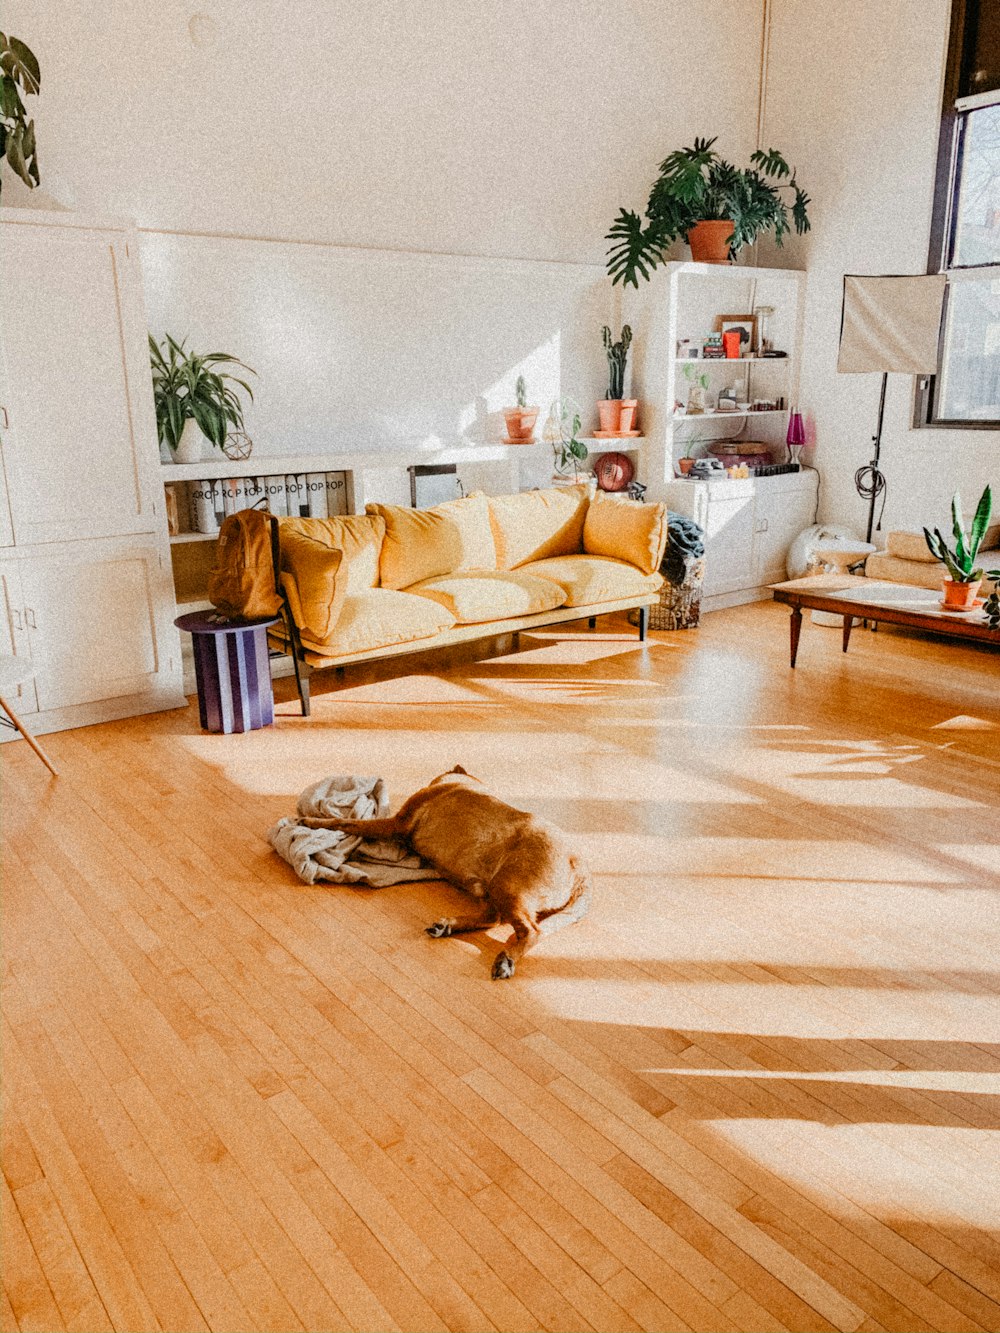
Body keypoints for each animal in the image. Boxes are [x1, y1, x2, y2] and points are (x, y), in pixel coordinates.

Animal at [301, 767, 592, 975]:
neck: (460, 782)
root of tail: (579, 867)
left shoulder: (396, 823)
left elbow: (347, 822)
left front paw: (313, 821)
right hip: (491, 889)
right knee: (493, 919)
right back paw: (449, 926)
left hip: (508, 887)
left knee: (531, 931)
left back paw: (506, 959)